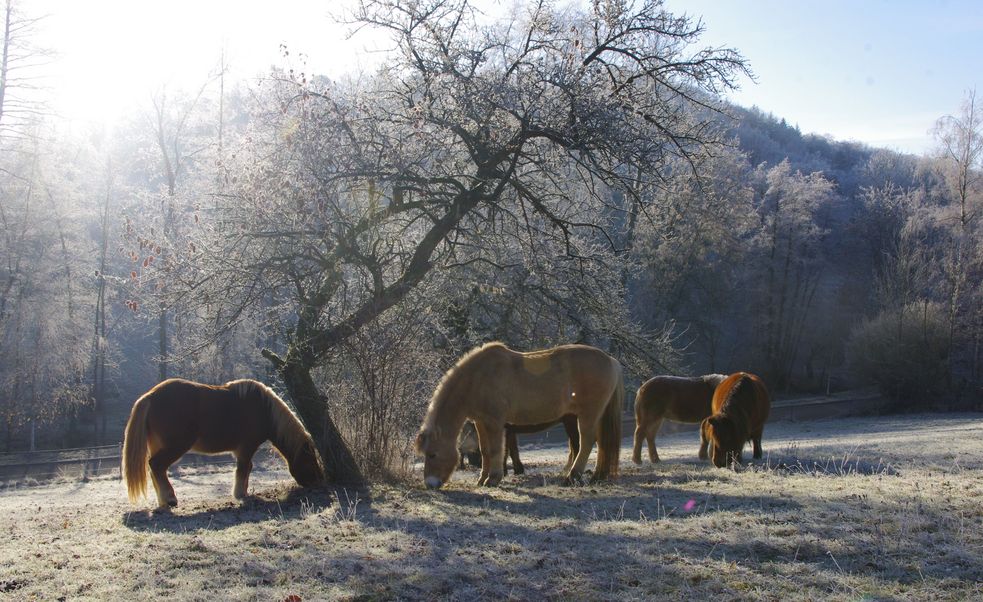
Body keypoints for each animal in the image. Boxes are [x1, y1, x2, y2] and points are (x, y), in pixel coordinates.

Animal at [121, 378, 324, 504]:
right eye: (309, 458)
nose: (318, 481)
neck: (264, 410)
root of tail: (150, 396)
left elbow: (246, 469)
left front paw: (243, 492)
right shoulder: (247, 448)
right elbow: (243, 468)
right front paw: (240, 494)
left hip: (158, 446)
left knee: (155, 469)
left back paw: (162, 500)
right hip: (175, 447)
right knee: (156, 465)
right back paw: (170, 499)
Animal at [418, 342, 624, 488]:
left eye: (432, 454)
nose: (430, 484)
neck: (478, 378)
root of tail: (610, 361)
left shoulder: (494, 423)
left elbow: (496, 450)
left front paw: (493, 479)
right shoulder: (481, 422)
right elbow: (485, 450)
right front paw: (482, 479)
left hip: (588, 414)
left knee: (587, 442)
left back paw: (572, 477)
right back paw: (595, 476)